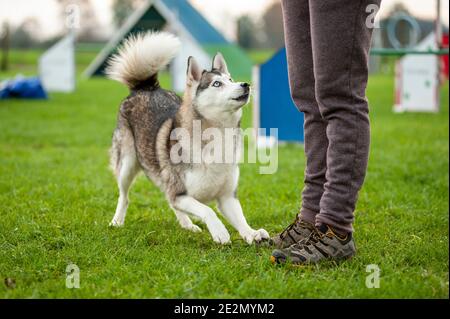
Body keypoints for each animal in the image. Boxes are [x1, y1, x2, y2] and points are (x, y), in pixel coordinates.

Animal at [105, 31, 268, 245]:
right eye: (217, 84)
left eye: (231, 79)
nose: (245, 84)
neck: (217, 136)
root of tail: (146, 88)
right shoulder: (179, 193)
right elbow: (207, 210)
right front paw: (220, 232)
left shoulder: (226, 197)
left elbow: (240, 219)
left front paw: (252, 233)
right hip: (127, 165)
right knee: (124, 197)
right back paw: (117, 221)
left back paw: (188, 225)